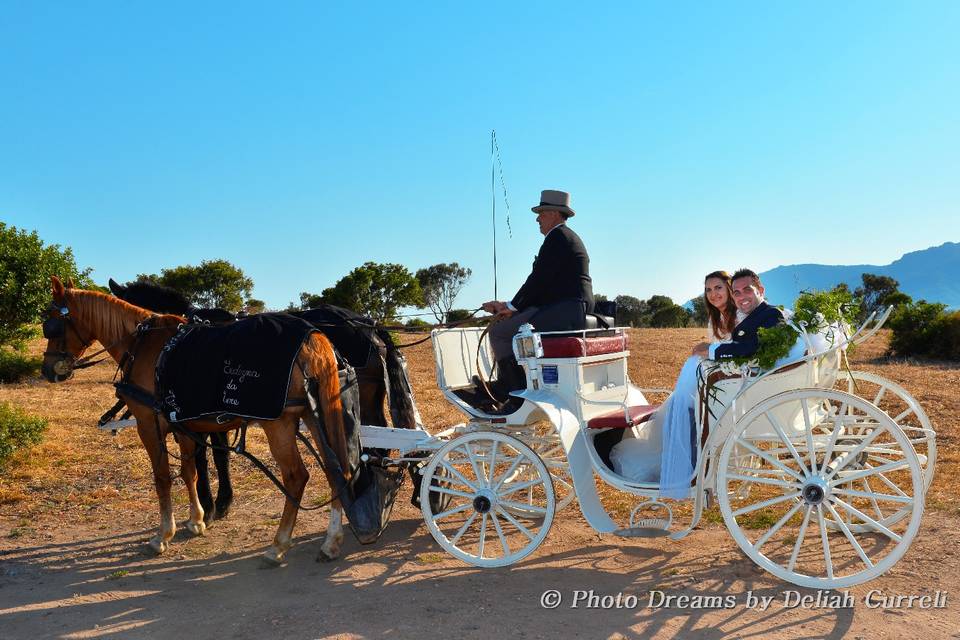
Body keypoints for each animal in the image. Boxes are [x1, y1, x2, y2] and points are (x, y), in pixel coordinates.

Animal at [40, 278, 352, 564]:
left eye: (51, 325)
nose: (48, 370)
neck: (144, 343)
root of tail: (312, 337)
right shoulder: (184, 424)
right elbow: (190, 472)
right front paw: (197, 520)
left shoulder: (149, 425)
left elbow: (163, 478)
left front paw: (164, 534)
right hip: (313, 415)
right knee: (336, 469)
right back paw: (331, 540)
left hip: (279, 424)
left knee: (296, 477)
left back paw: (279, 543)